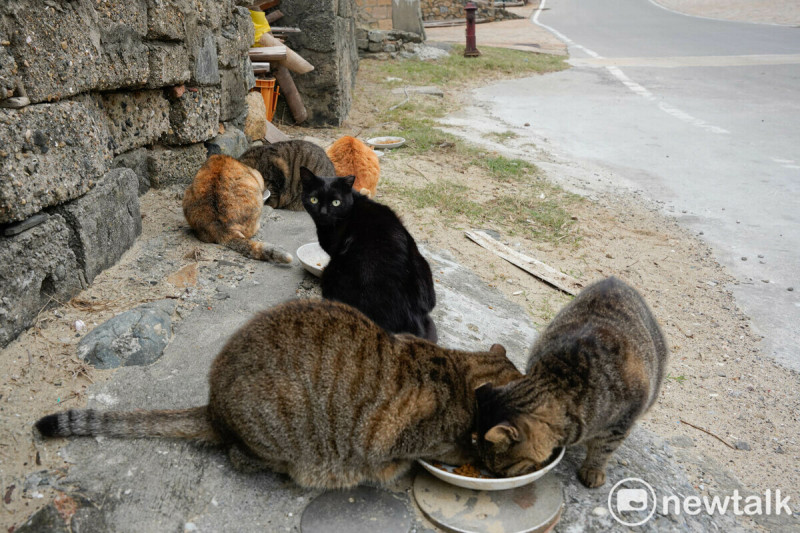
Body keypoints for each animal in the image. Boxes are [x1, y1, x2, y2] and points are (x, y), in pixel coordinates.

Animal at [472, 276, 664, 488]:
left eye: (502, 467)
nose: (494, 474)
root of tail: (615, 280)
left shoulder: (621, 422)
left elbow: (603, 449)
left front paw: (593, 469)